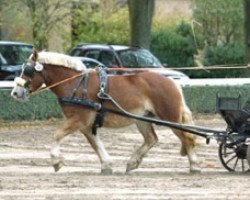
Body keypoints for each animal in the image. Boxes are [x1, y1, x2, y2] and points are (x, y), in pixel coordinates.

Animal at [11, 49, 201, 173]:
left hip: (170, 118)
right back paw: (133, 162)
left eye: (28, 70)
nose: (15, 93)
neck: (75, 85)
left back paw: (194, 165)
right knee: (151, 139)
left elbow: (57, 135)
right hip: (142, 118)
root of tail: (173, 82)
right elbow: (96, 144)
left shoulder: (78, 120)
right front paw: (106, 165)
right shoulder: (86, 125)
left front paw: (56, 161)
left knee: (186, 137)